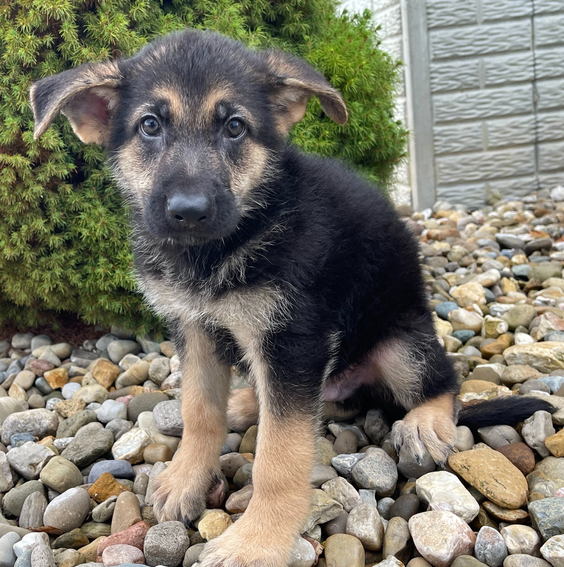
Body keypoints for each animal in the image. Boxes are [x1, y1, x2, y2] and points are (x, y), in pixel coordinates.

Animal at [30, 29, 553, 567]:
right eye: (149, 126)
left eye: (235, 127)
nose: (189, 212)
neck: (222, 247)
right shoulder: (194, 328)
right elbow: (199, 411)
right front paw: (187, 478)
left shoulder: (293, 339)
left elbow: (279, 457)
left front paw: (257, 541)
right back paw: (247, 401)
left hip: (401, 343)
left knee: (441, 381)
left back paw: (424, 421)